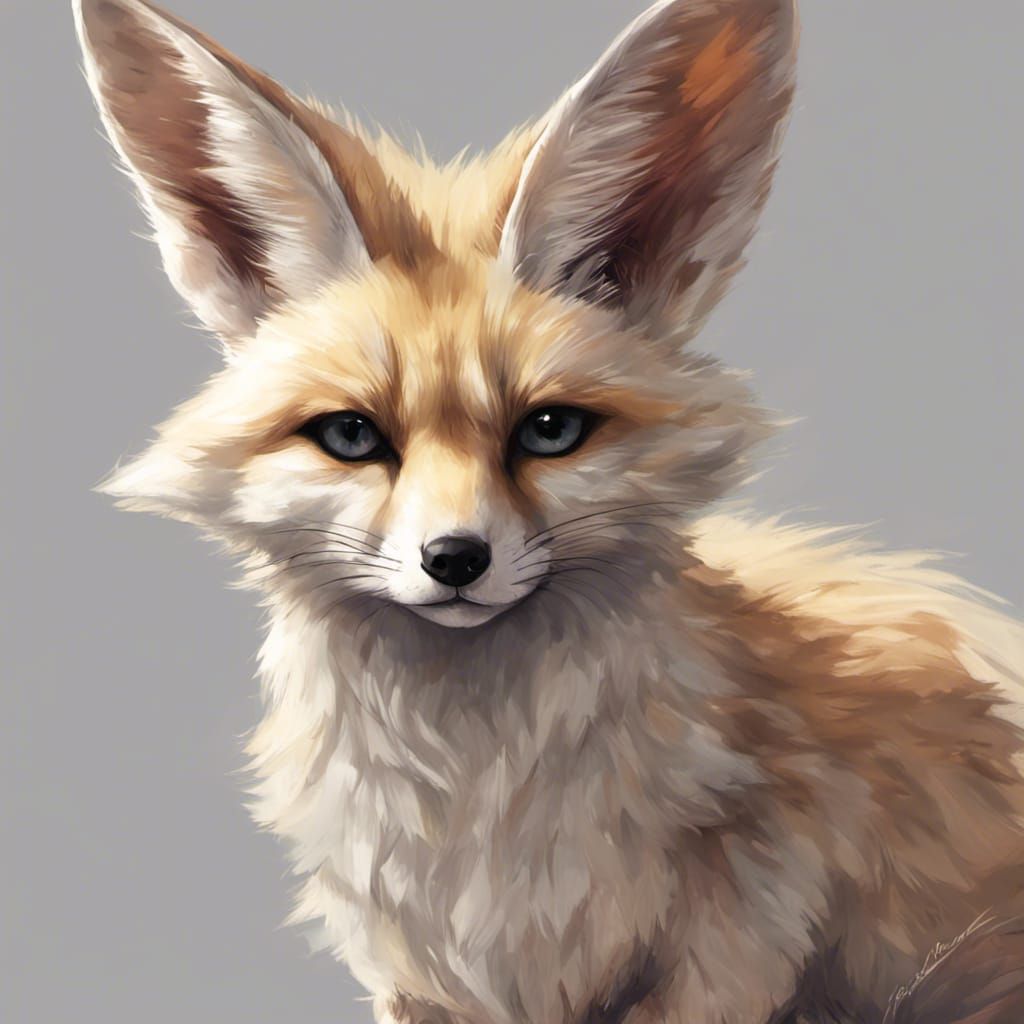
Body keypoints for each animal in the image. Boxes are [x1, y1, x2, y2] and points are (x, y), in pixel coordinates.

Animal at [72, 0, 1024, 1022]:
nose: (455, 559)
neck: (477, 802)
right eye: (353, 436)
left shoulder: (735, 947)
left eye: (550, 429)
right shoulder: (416, 974)